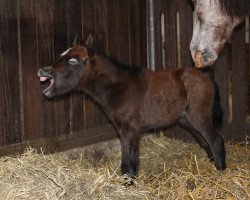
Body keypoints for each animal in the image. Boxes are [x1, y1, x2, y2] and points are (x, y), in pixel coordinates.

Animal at [37, 35, 227, 181]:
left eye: (73, 60)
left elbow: (128, 162)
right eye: (62, 54)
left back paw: (221, 173)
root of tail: (207, 78)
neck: (120, 87)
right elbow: (131, 159)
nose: (43, 71)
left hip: (199, 117)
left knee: (215, 141)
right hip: (187, 121)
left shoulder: (130, 129)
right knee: (205, 142)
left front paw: (127, 183)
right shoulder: (125, 129)